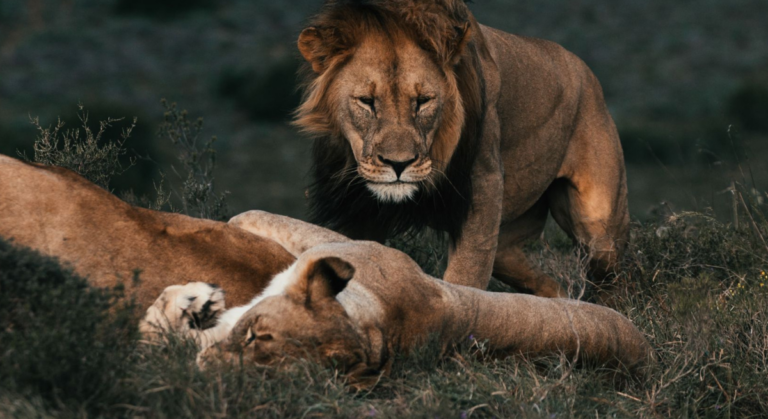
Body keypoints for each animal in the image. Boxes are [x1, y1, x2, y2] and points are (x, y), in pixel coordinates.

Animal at [295, 0, 629, 297]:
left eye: (423, 101)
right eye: (366, 101)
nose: (398, 164)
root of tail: (586, 70)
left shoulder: (483, 188)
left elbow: (465, 279)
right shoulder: (358, 210)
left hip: (599, 230)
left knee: (612, 280)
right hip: (507, 248)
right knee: (545, 283)